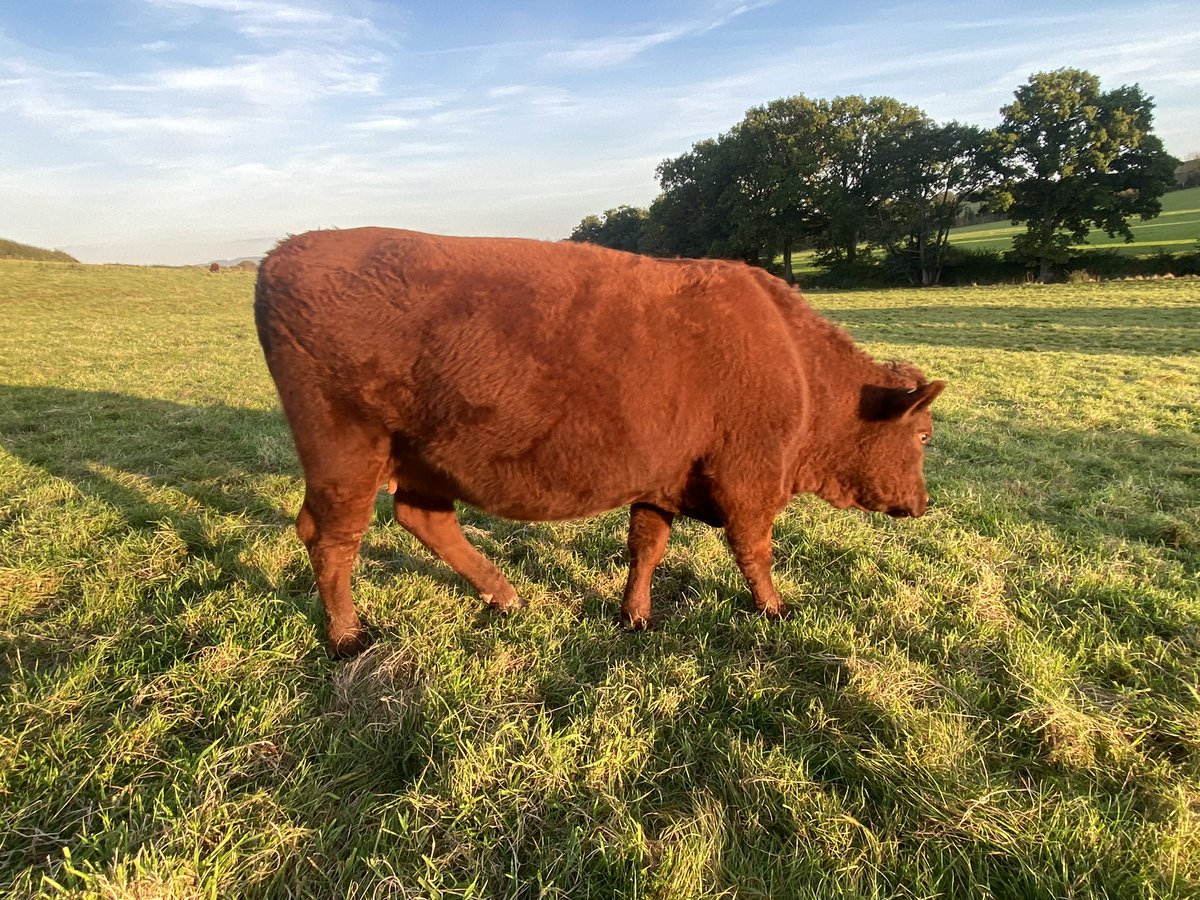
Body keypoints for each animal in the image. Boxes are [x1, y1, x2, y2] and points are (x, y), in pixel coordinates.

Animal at [254, 228, 945, 657]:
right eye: (923, 433)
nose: (922, 503)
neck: (797, 361)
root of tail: (282, 254)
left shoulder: (663, 480)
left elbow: (647, 546)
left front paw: (634, 616)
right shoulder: (748, 482)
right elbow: (755, 552)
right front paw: (776, 610)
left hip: (418, 459)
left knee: (422, 519)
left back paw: (506, 597)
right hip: (347, 454)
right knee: (333, 537)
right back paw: (348, 639)